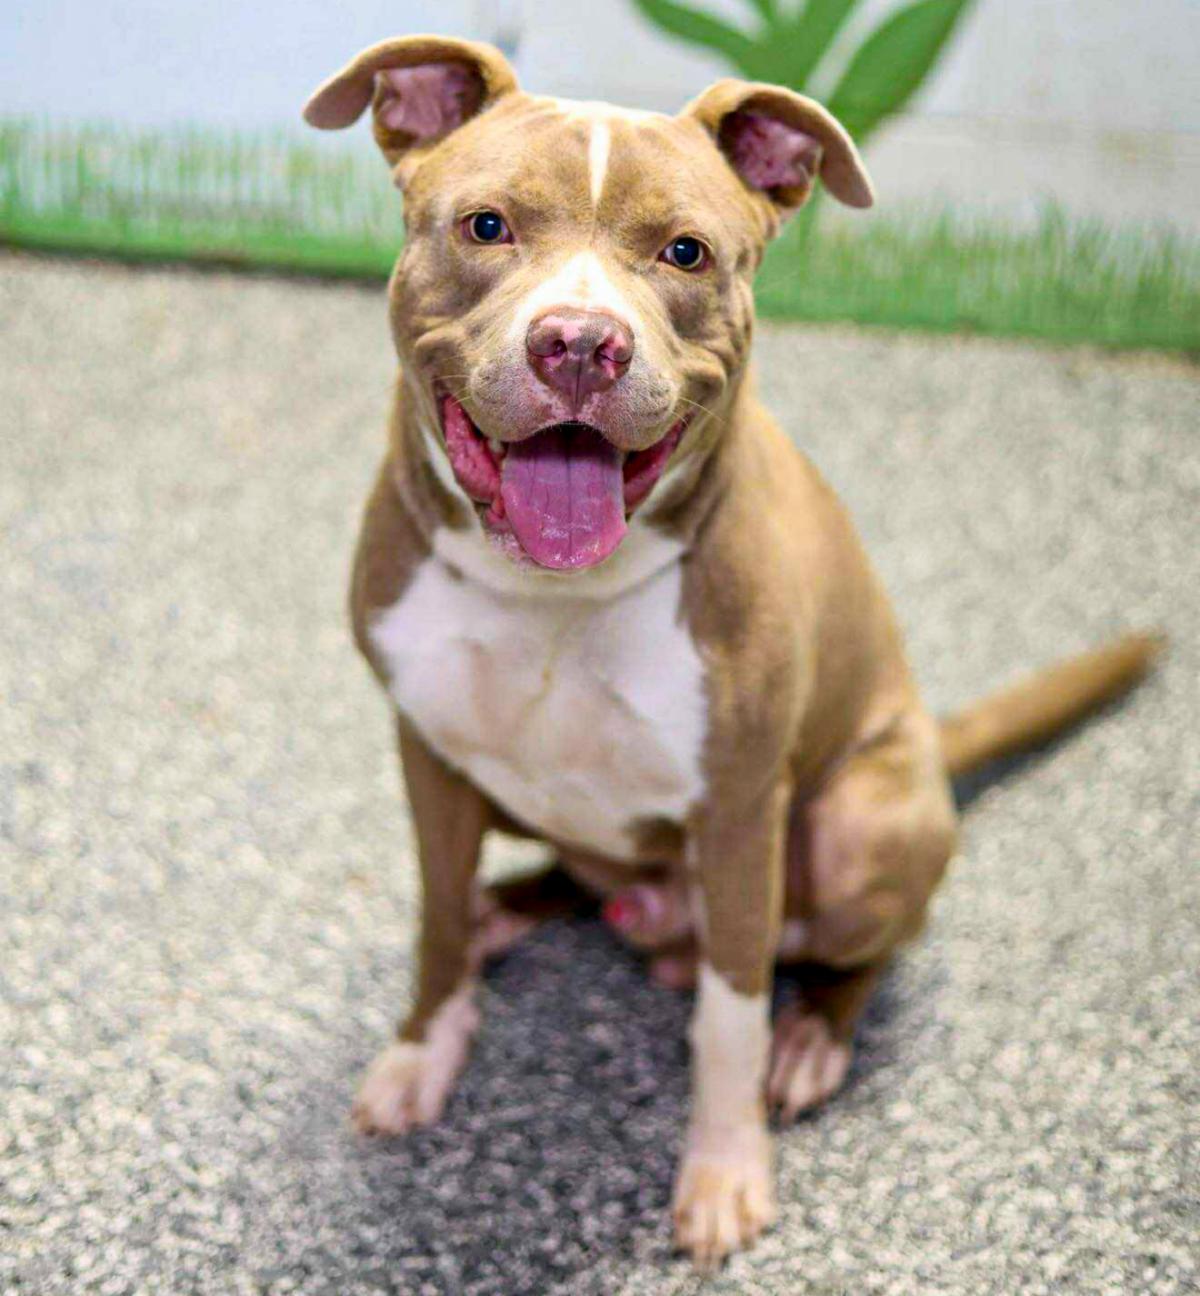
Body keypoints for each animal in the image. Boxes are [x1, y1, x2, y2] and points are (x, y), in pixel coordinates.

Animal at [303, 35, 1162, 1268]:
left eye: (685, 252)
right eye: (486, 226)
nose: (580, 344)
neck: (553, 595)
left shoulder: (743, 806)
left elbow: (730, 1016)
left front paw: (723, 1169)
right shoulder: (427, 755)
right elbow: (433, 920)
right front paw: (426, 1049)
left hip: (857, 825)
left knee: (861, 949)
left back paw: (811, 1041)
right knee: (556, 883)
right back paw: (516, 910)